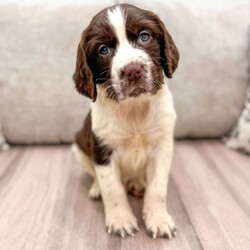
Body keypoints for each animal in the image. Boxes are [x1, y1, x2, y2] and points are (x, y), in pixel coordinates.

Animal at [71, 3, 179, 238]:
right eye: (103, 50)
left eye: (145, 36)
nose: (132, 71)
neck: (133, 108)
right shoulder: (102, 148)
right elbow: (113, 189)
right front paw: (121, 220)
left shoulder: (162, 145)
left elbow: (157, 188)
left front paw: (158, 219)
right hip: (79, 147)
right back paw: (96, 188)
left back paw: (138, 183)